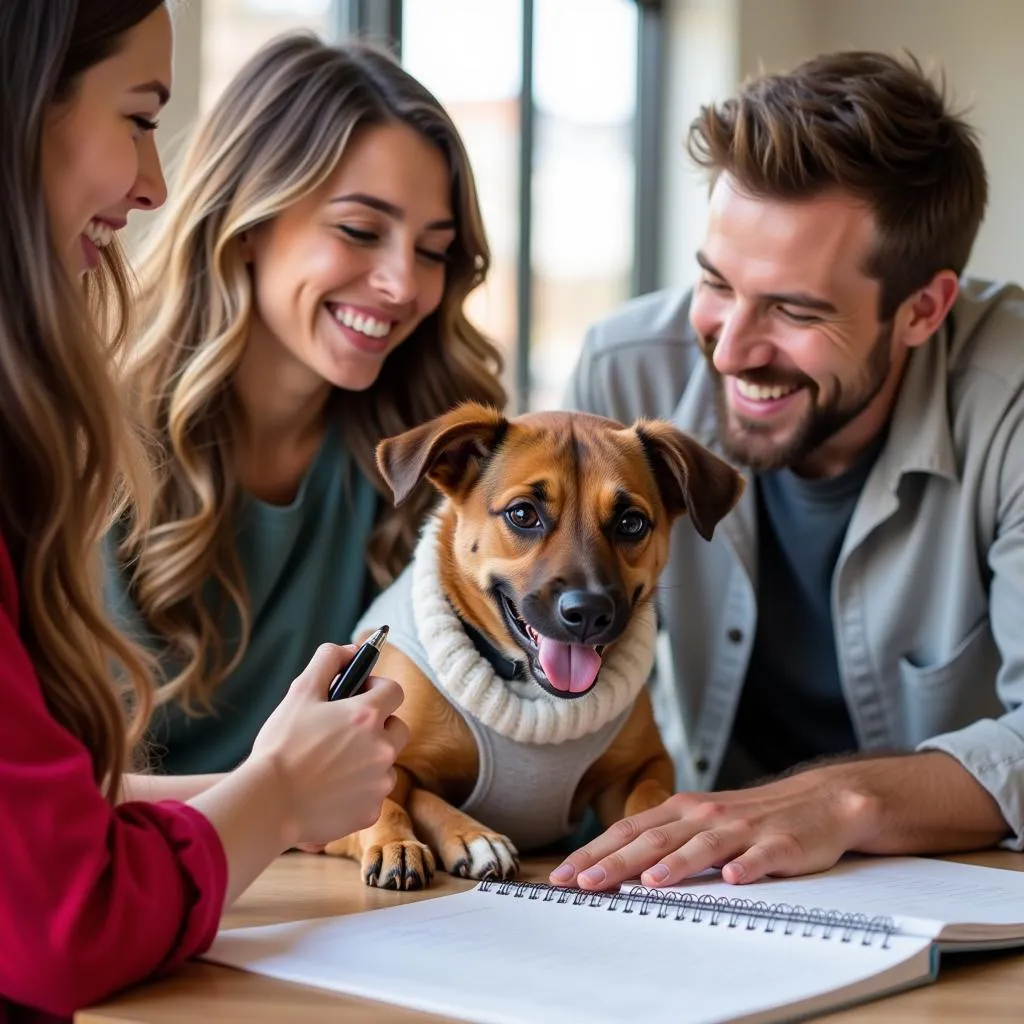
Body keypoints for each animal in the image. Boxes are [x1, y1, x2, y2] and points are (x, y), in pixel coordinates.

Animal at [327, 399, 745, 888]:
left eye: (631, 523)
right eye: (523, 515)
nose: (588, 613)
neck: (529, 694)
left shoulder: (643, 767)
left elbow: (651, 797)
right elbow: (400, 798)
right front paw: (429, 840)